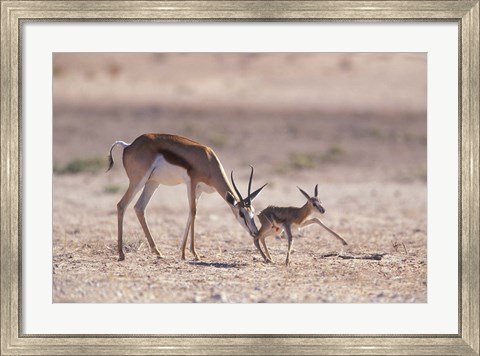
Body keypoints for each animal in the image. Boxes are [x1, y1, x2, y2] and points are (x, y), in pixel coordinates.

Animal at [106, 134, 268, 262]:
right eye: (241, 213)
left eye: (253, 212)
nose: (255, 232)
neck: (208, 160)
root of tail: (128, 145)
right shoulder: (192, 182)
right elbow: (193, 212)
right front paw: (193, 253)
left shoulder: (199, 190)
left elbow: (191, 214)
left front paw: (184, 253)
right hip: (138, 180)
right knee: (121, 205)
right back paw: (121, 254)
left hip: (152, 183)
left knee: (139, 207)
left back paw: (158, 252)